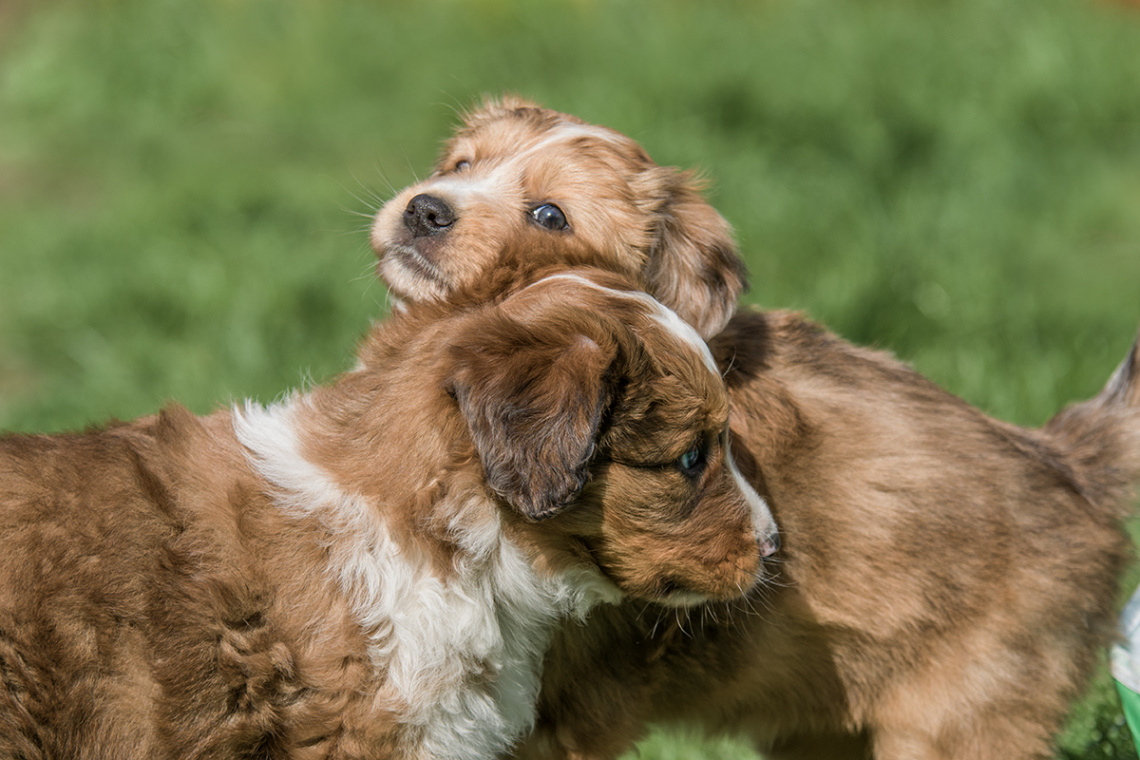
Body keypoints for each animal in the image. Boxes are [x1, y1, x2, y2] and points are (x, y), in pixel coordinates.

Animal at [369, 95, 1140, 760]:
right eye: (461, 164)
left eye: (549, 214)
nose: (426, 208)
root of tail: (1067, 459)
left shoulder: (558, 701)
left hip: (965, 719)